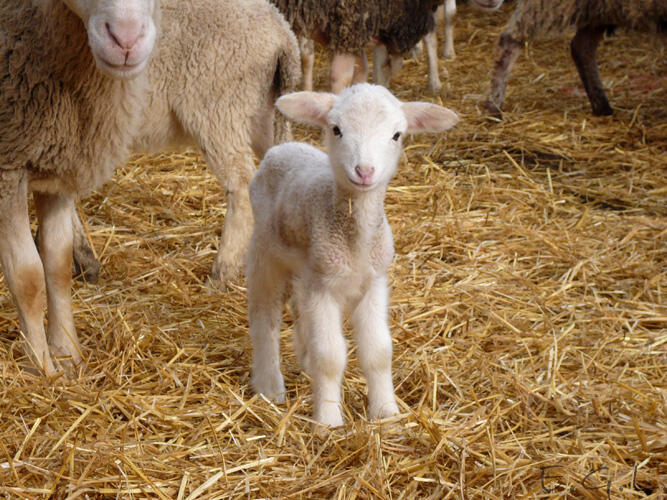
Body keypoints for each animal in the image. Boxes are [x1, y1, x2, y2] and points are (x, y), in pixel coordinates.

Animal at [0, 0, 159, 376]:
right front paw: (42, 368)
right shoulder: (7, 166)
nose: (126, 40)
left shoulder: (60, 160)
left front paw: (68, 353)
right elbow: (27, 276)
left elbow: (57, 264)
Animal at [69, 0, 302, 286]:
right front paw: (83, 260)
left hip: (219, 108)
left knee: (241, 185)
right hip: (263, 112)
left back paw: (221, 272)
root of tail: (282, 33)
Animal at [245, 84, 460, 428]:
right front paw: (328, 420)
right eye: (336, 129)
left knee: (298, 308)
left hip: (306, 268)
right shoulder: (322, 287)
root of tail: (283, 147)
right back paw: (269, 386)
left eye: (396, 135)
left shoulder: (373, 281)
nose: (364, 171)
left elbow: (379, 352)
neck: (355, 240)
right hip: (265, 252)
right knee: (264, 315)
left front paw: (387, 415)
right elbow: (330, 356)